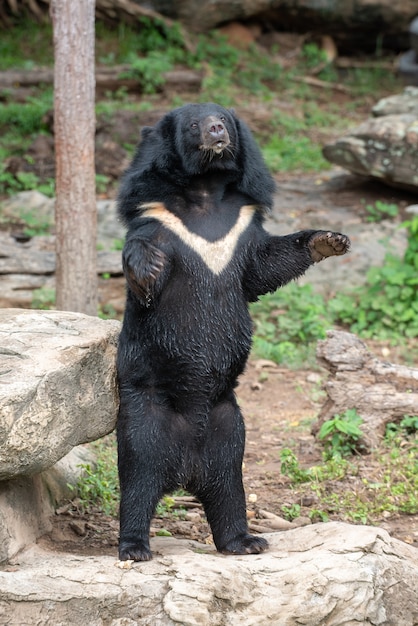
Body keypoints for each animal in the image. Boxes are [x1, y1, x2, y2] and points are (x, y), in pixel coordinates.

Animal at [115, 102, 350, 560]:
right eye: (194, 124)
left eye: (223, 117)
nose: (216, 131)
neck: (205, 190)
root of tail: (186, 467)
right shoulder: (157, 215)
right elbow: (144, 247)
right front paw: (147, 267)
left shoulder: (241, 224)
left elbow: (264, 265)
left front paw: (330, 239)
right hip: (145, 412)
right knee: (138, 476)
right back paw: (134, 546)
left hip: (229, 426)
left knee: (228, 485)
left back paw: (244, 541)